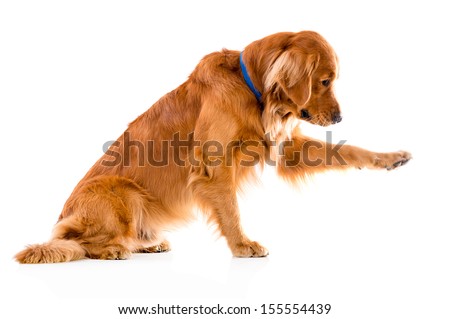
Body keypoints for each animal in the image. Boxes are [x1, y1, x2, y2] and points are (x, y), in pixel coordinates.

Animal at [14, 31, 412, 264]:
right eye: (326, 80)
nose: (341, 117)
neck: (251, 89)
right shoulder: (214, 164)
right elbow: (231, 209)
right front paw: (243, 245)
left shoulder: (285, 148)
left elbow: (349, 151)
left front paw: (391, 158)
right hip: (122, 192)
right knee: (79, 242)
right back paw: (113, 249)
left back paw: (145, 243)